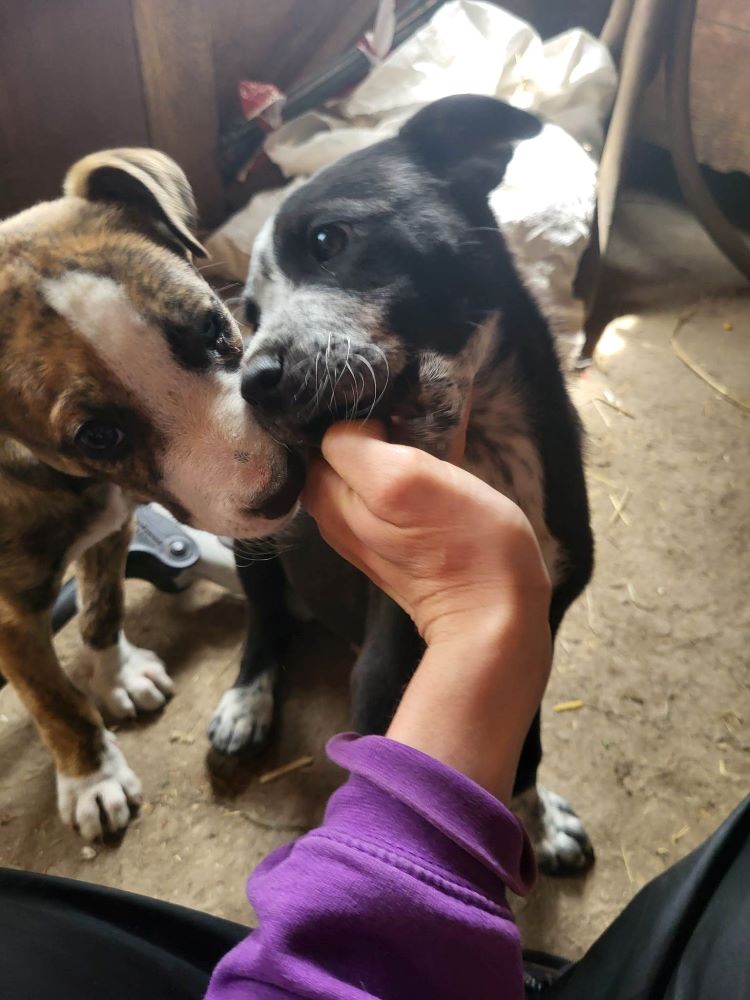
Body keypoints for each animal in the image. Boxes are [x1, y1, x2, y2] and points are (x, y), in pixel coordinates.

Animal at [209, 95, 596, 876]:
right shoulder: (388, 669)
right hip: (252, 541)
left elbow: (528, 744)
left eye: (328, 239)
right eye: (250, 317)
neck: (481, 447)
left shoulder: (537, 628)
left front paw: (538, 820)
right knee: (264, 620)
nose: (251, 384)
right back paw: (246, 703)